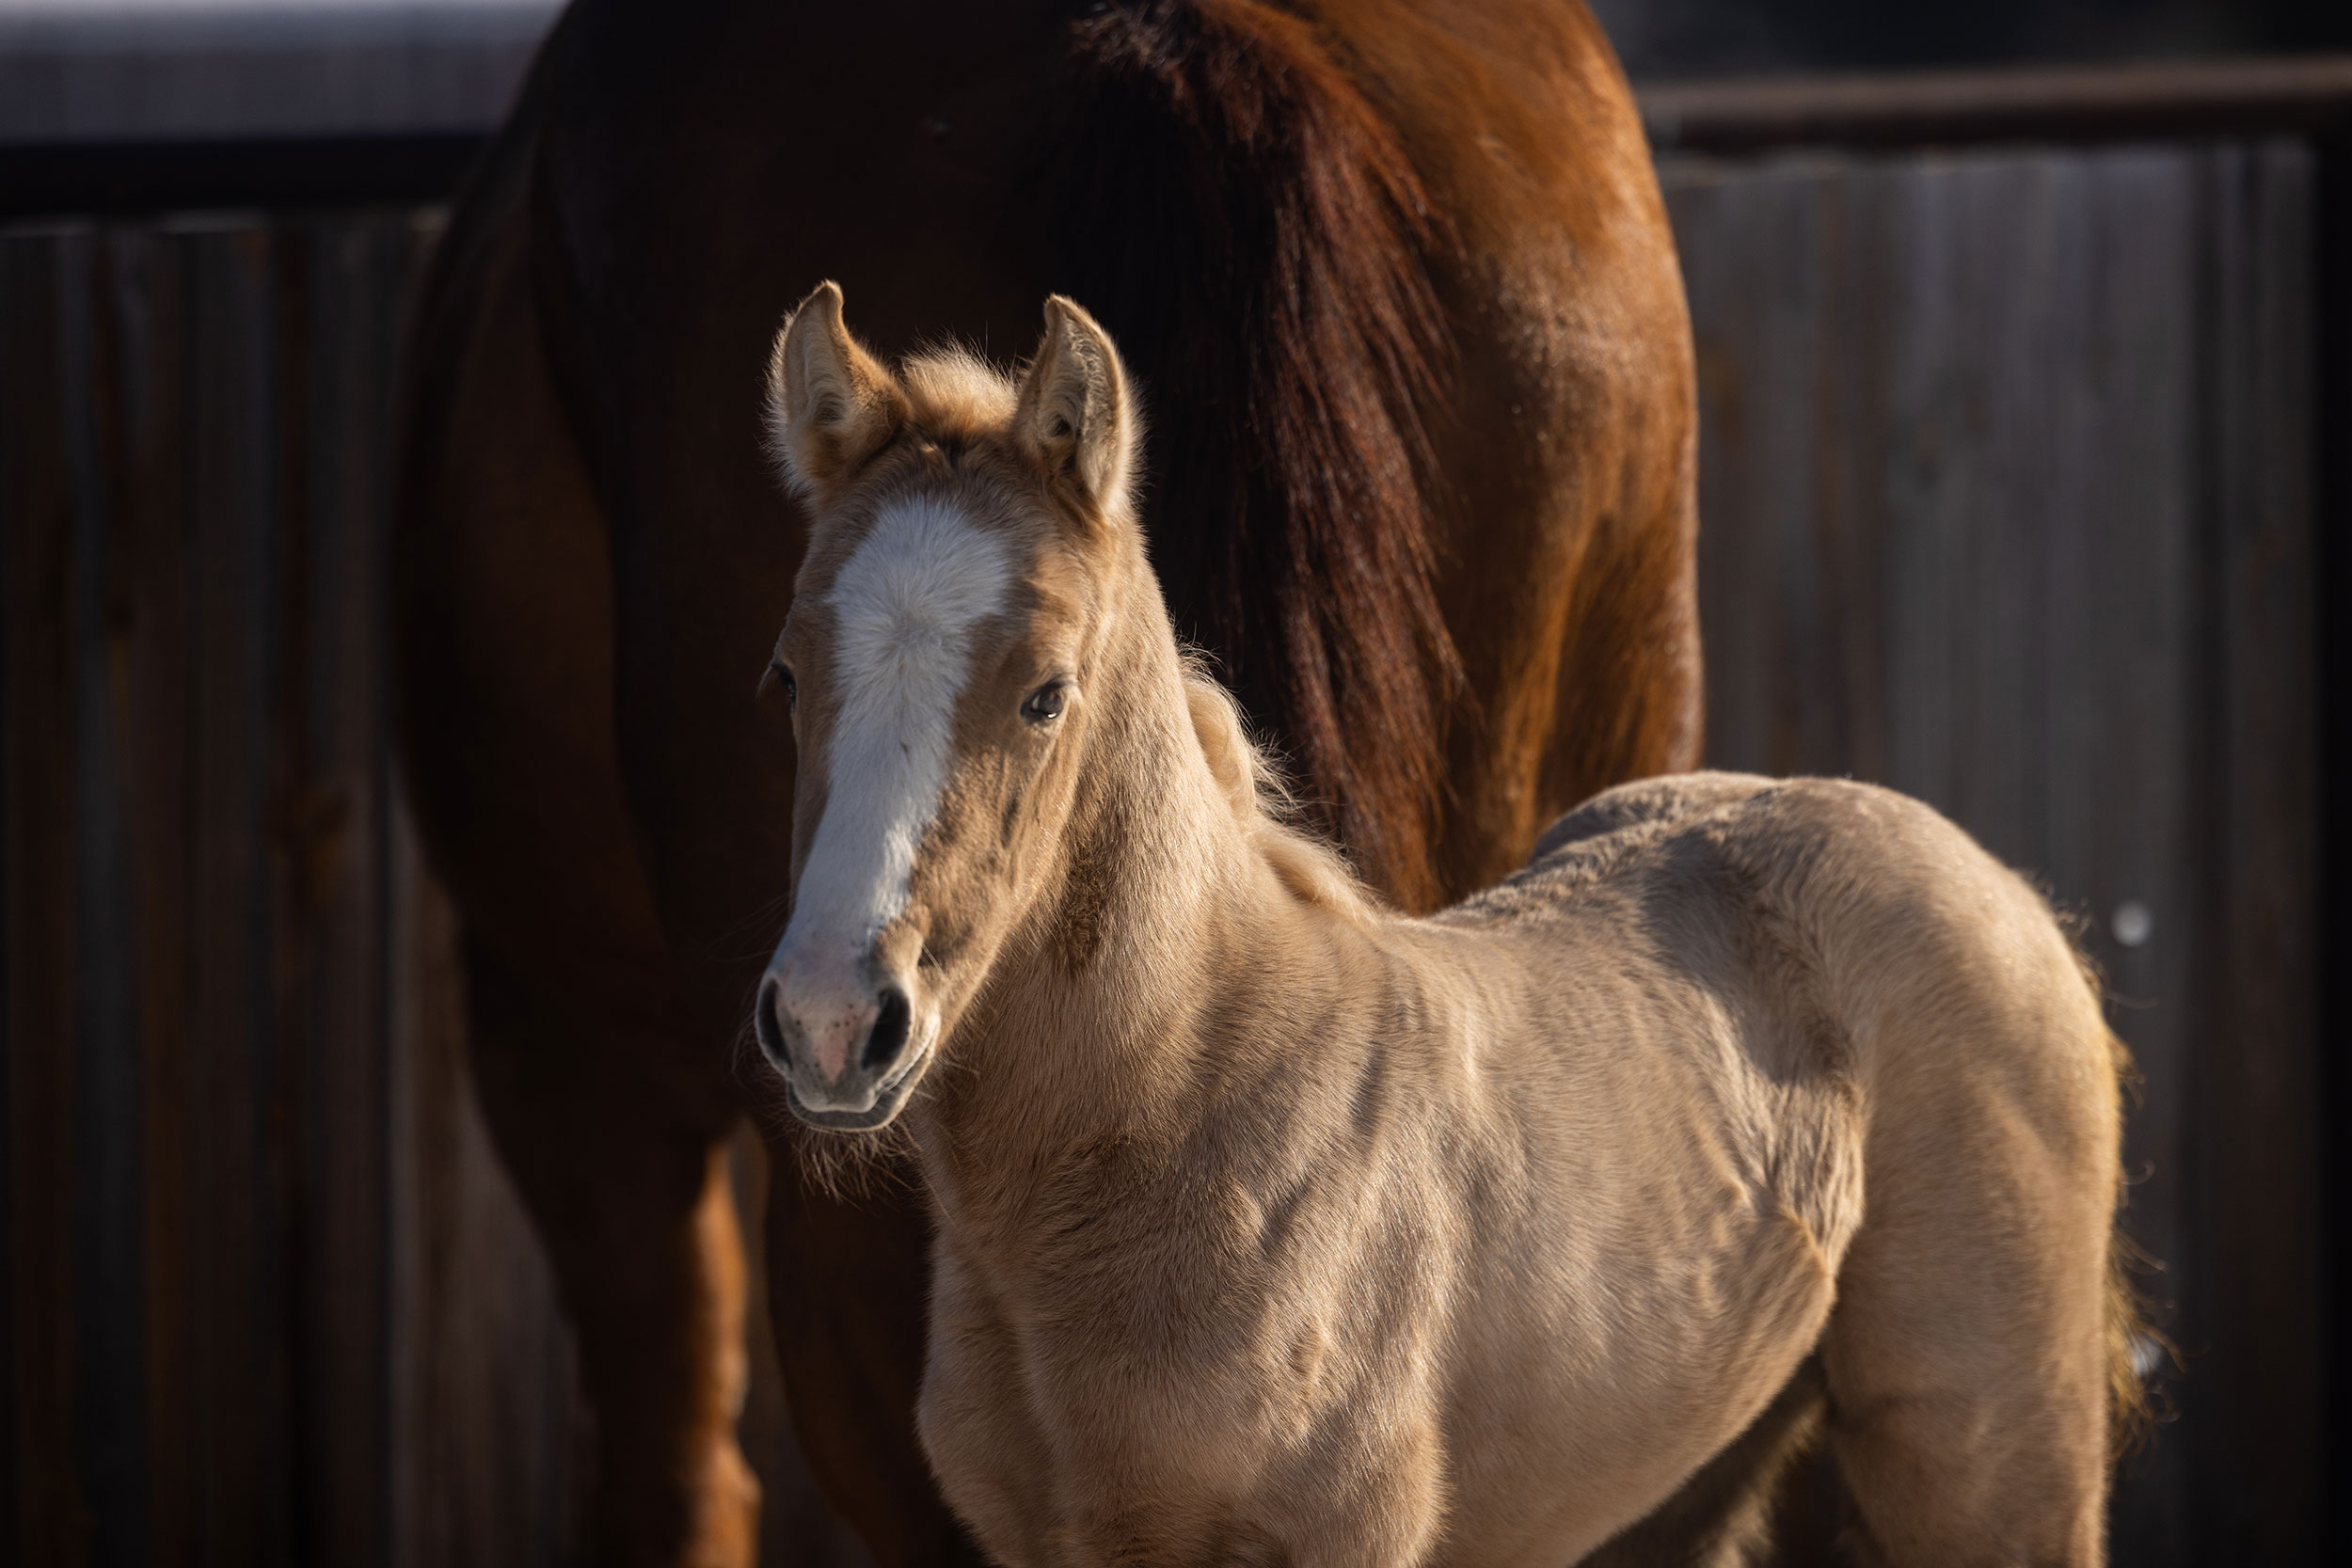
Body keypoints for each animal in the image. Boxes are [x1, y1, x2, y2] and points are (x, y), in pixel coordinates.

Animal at [751, 288, 2142, 1568]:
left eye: (1045, 692)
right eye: (784, 672)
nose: (831, 1019)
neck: (1192, 1107)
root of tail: (2006, 889)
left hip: (1994, 1460)